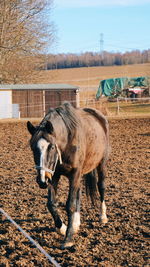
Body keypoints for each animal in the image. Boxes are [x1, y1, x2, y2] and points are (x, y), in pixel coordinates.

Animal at [26, 102, 109, 249]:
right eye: (33, 147)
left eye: (51, 147)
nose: (42, 180)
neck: (67, 141)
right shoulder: (54, 175)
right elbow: (51, 203)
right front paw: (63, 228)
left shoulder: (74, 173)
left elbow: (70, 204)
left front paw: (68, 238)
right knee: (78, 193)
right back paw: (75, 223)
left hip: (101, 164)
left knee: (101, 186)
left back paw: (103, 216)